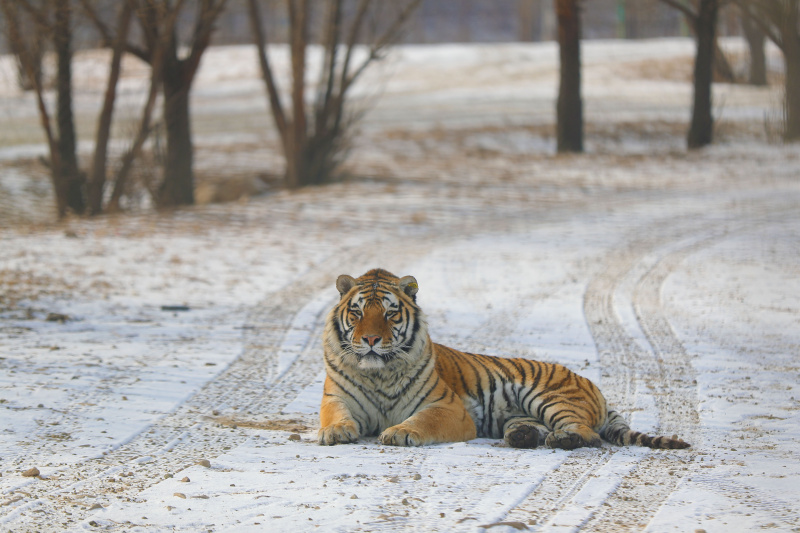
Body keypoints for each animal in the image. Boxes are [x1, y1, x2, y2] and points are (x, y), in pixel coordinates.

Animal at [319, 268, 690, 450]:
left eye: (390, 314)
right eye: (358, 312)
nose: (370, 340)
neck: (378, 373)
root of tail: (591, 384)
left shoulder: (447, 407)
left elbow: (422, 421)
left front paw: (399, 432)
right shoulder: (336, 397)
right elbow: (334, 415)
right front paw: (335, 431)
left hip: (549, 397)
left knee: (588, 433)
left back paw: (562, 440)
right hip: (521, 413)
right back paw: (522, 438)